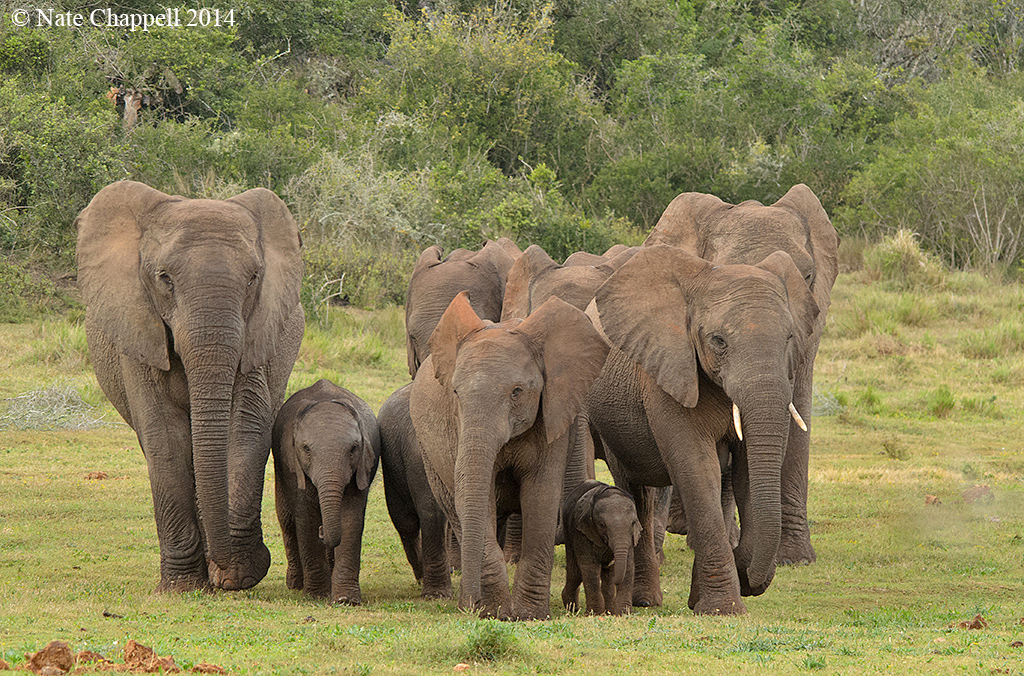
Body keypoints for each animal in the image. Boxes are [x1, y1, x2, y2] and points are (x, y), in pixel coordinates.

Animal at [76, 180, 304, 592]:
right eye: (164, 278)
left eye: (253, 278)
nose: (223, 566)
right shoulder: (139, 333)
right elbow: (164, 437)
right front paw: (184, 587)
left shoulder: (254, 336)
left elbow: (245, 427)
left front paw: (236, 575)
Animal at [271, 379, 380, 605]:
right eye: (306, 449)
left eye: (353, 449)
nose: (323, 532)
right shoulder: (293, 465)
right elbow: (305, 518)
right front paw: (316, 596)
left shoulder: (360, 470)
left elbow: (351, 520)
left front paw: (346, 599)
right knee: (286, 519)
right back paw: (296, 585)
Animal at [409, 293, 609, 620]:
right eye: (455, 393)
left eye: (517, 392)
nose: (470, 604)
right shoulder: (456, 427)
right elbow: (477, 498)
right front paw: (497, 613)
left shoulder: (552, 415)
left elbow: (541, 495)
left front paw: (529, 615)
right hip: (428, 453)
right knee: (454, 507)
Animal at [561, 480, 641, 616]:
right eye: (602, 524)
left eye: (633, 523)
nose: (616, 582)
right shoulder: (582, 531)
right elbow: (589, 567)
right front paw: (595, 614)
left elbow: (629, 566)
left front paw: (622, 614)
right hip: (568, 530)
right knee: (576, 572)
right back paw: (572, 608)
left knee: (606, 575)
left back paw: (608, 612)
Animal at [586, 245, 819, 614]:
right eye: (718, 340)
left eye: (789, 338)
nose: (752, 582)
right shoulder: (668, 369)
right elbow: (697, 468)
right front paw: (723, 609)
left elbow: (746, 471)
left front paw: (728, 587)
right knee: (637, 492)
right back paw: (645, 601)